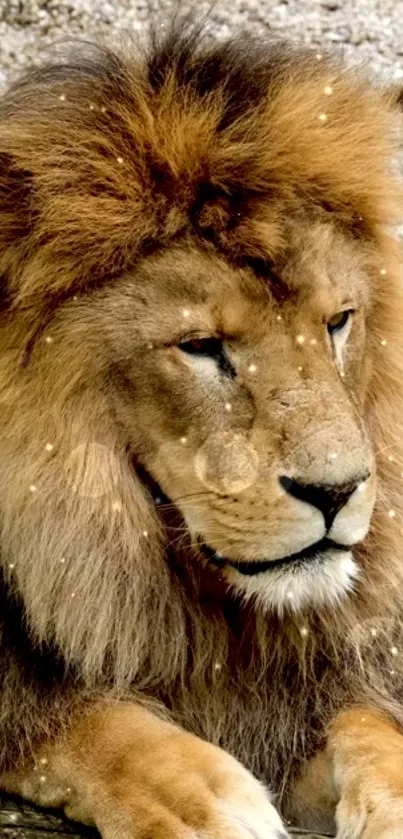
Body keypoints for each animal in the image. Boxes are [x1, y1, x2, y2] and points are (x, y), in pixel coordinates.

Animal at [0, 23, 403, 839]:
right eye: (201, 346)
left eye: (338, 320)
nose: (338, 490)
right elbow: (96, 723)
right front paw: (210, 801)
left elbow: (373, 725)